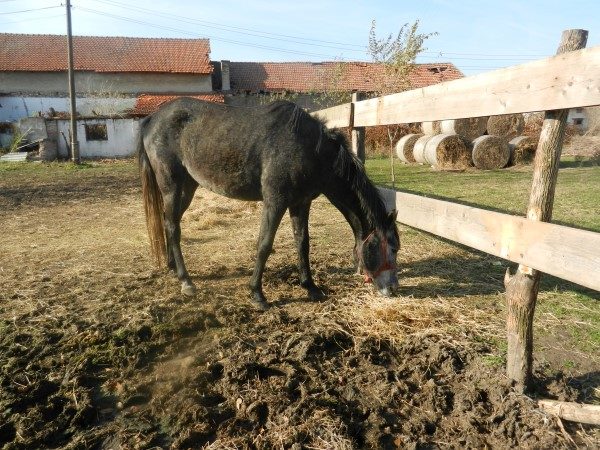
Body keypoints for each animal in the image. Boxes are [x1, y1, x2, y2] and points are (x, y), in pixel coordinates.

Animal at [136, 98, 398, 310]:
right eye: (389, 247)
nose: (393, 289)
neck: (309, 148)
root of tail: (152, 119)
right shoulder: (275, 202)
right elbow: (264, 244)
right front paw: (257, 294)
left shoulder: (301, 203)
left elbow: (303, 243)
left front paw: (310, 287)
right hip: (172, 186)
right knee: (172, 226)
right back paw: (186, 281)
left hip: (187, 187)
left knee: (170, 222)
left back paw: (172, 266)